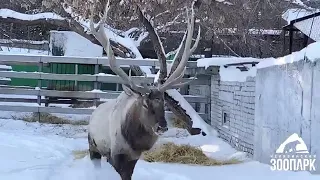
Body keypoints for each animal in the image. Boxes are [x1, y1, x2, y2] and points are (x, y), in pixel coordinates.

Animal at [86, 0, 199, 179]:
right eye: (145, 103)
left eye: (164, 102)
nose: (162, 127)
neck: (134, 142)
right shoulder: (115, 154)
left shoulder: (132, 158)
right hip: (93, 145)